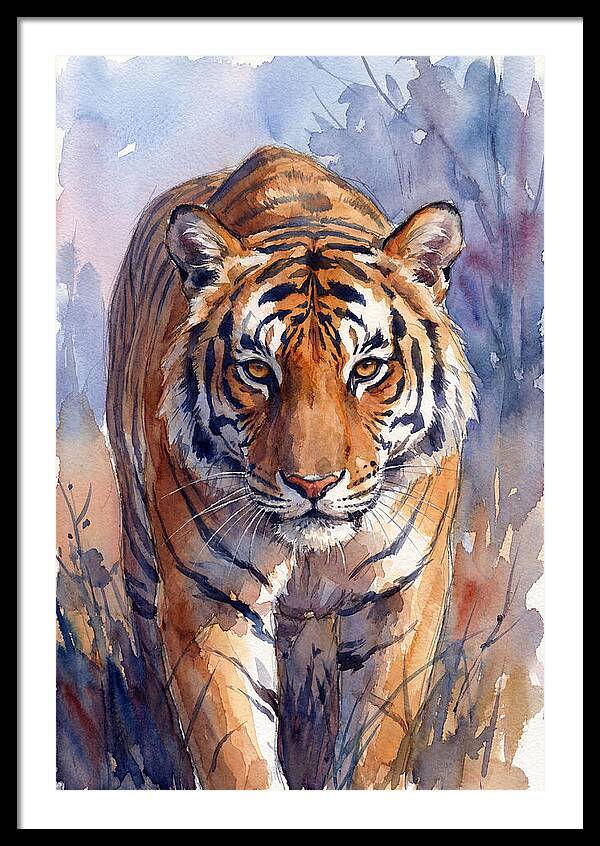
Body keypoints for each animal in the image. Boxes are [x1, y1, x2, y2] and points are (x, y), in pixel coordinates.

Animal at [106, 145, 476, 790]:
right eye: (258, 371)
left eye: (367, 369)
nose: (312, 484)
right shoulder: (209, 597)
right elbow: (237, 756)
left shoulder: (405, 594)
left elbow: (376, 741)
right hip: (139, 545)